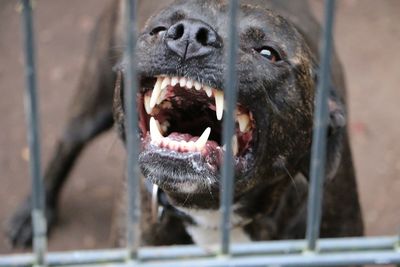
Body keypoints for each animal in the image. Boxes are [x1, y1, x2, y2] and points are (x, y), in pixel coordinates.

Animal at [7, 0, 362, 248]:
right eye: (159, 29)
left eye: (267, 53)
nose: (191, 34)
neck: (215, 217)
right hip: (91, 102)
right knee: (66, 142)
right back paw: (34, 215)